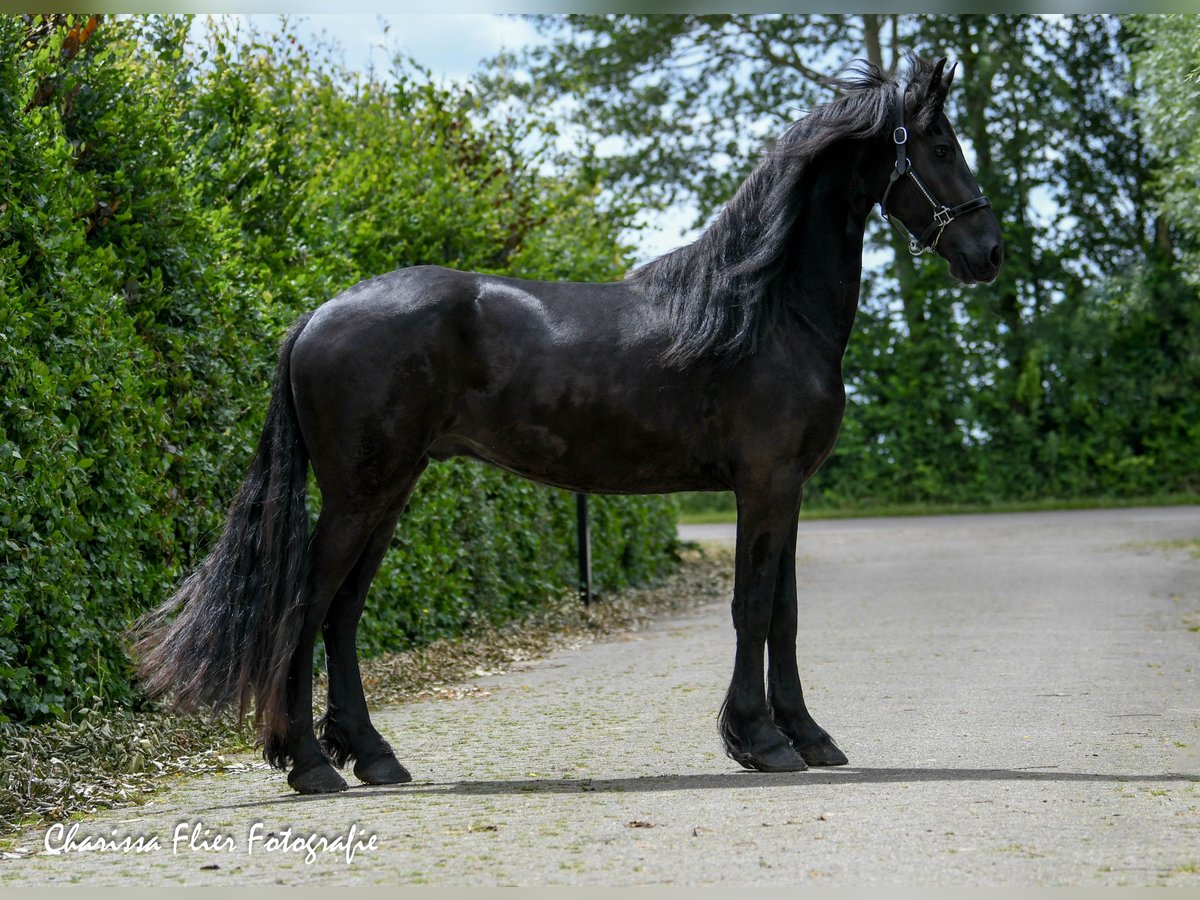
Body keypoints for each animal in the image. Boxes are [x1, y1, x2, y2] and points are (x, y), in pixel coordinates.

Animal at [138, 56, 1003, 792]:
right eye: (942, 144)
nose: (988, 252)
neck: (764, 312)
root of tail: (317, 314)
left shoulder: (786, 489)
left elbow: (784, 614)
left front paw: (807, 736)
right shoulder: (764, 483)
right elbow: (753, 608)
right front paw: (760, 740)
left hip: (389, 493)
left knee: (344, 614)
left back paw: (373, 756)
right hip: (359, 496)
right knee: (307, 606)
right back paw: (310, 763)